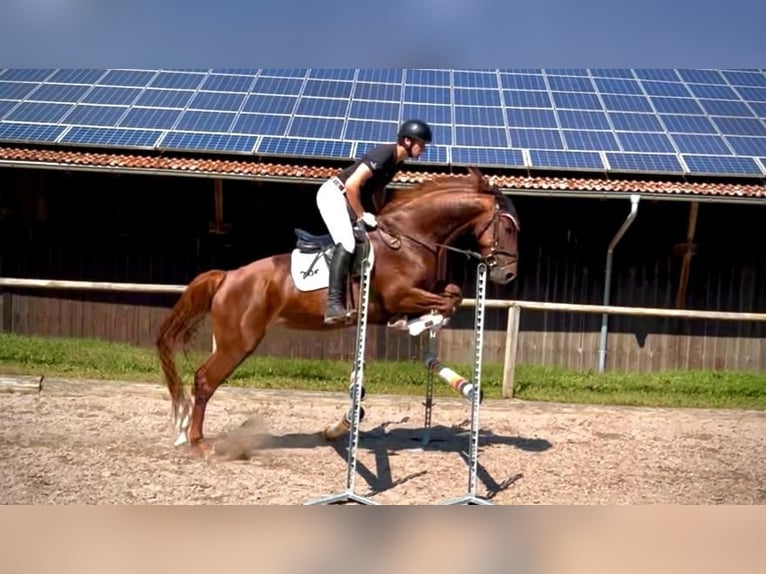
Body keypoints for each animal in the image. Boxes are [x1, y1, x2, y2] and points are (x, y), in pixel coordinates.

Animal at [159, 166, 524, 450]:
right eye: (507, 228)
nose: (507, 275)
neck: (410, 239)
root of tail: (228, 276)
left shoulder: (420, 291)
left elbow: (453, 293)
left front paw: (418, 321)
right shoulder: (399, 296)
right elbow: (445, 301)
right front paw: (415, 323)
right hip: (238, 343)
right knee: (204, 380)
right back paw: (197, 441)